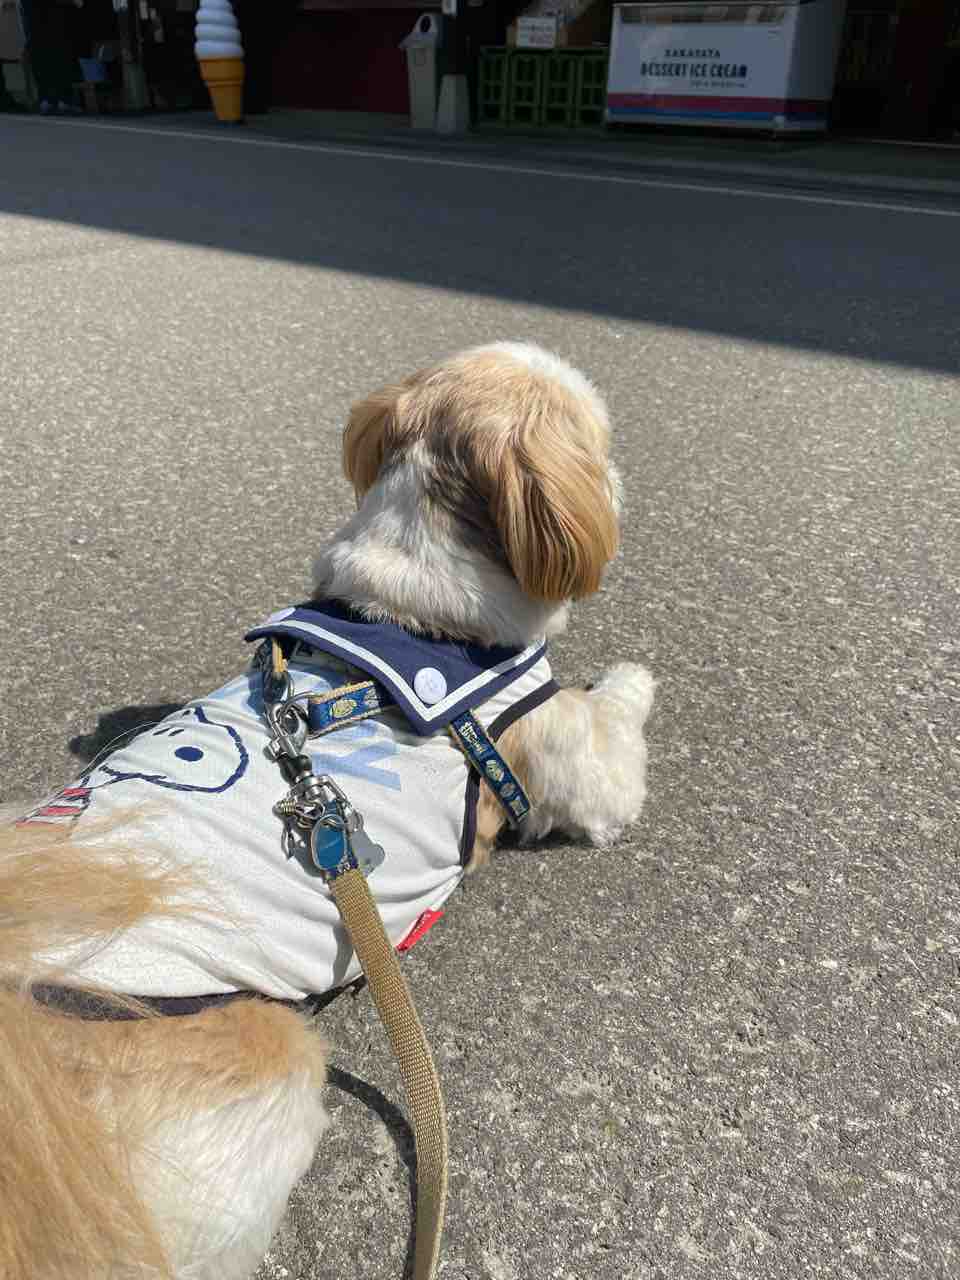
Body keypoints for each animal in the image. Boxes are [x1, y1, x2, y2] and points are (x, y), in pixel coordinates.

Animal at [0, 341, 654, 1280]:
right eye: (600, 444)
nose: (622, 479)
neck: (415, 616)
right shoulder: (555, 742)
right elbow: (617, 741)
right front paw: (635, 679)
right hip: (261, 1064)